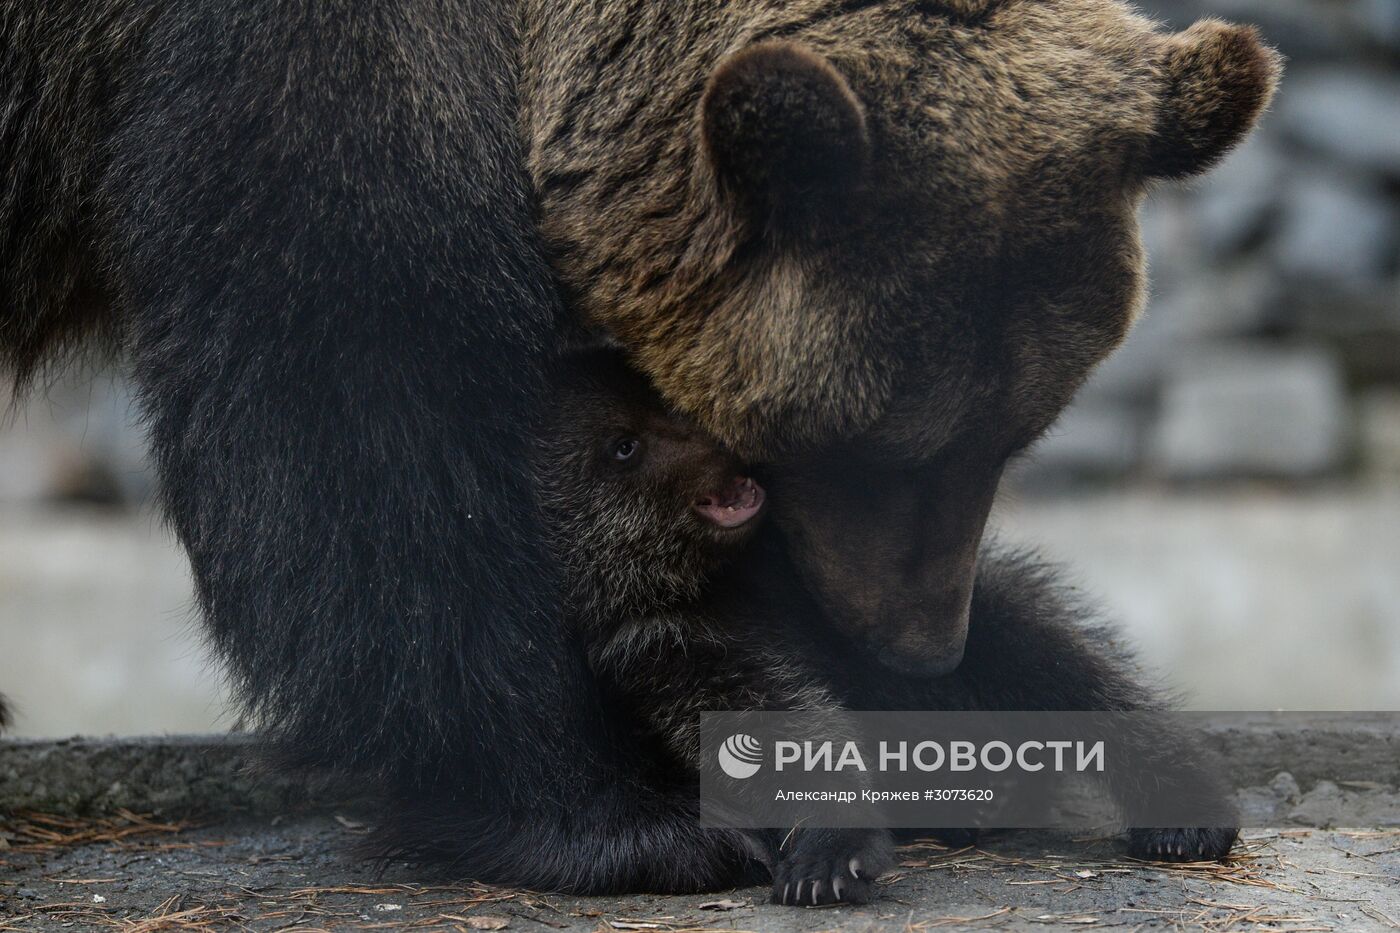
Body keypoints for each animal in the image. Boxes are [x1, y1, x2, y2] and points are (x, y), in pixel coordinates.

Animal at [0, 0, 1271, 890]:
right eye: (880, 446)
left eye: (1014, 435)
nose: (919, 651)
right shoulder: (296, 88)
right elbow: (364, 428)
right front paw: (617, 819)